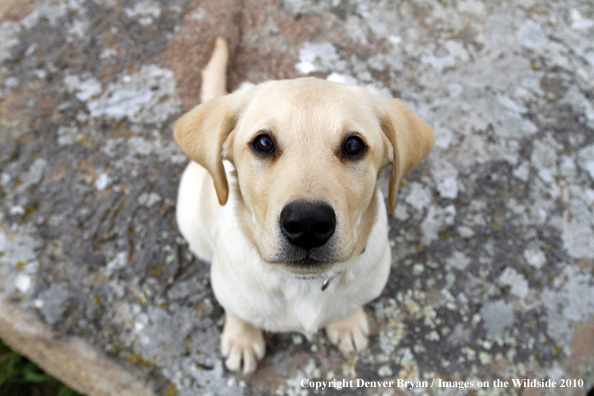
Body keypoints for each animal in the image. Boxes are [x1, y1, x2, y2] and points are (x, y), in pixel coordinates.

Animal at [173, 38, 432, 374]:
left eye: (353, 145)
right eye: (263, 143)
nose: (308, 224)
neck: (303, 284)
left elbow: (352, 303)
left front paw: (347, 323)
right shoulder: (226, 283)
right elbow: (239, 311)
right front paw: (242, 339)